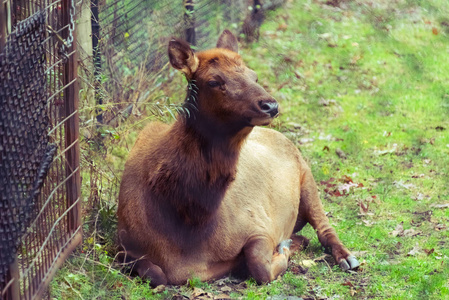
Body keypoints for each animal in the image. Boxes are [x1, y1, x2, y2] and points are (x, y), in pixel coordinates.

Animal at [117, 29, 358, 286]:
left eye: (254, 76)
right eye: (214, 81)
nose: (271, 105)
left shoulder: (259, 224)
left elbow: (259, 264)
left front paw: (282, 249)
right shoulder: (124, 246)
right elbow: (155, 273)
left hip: (307, 176)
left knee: (324, 227)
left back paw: (347, 257)